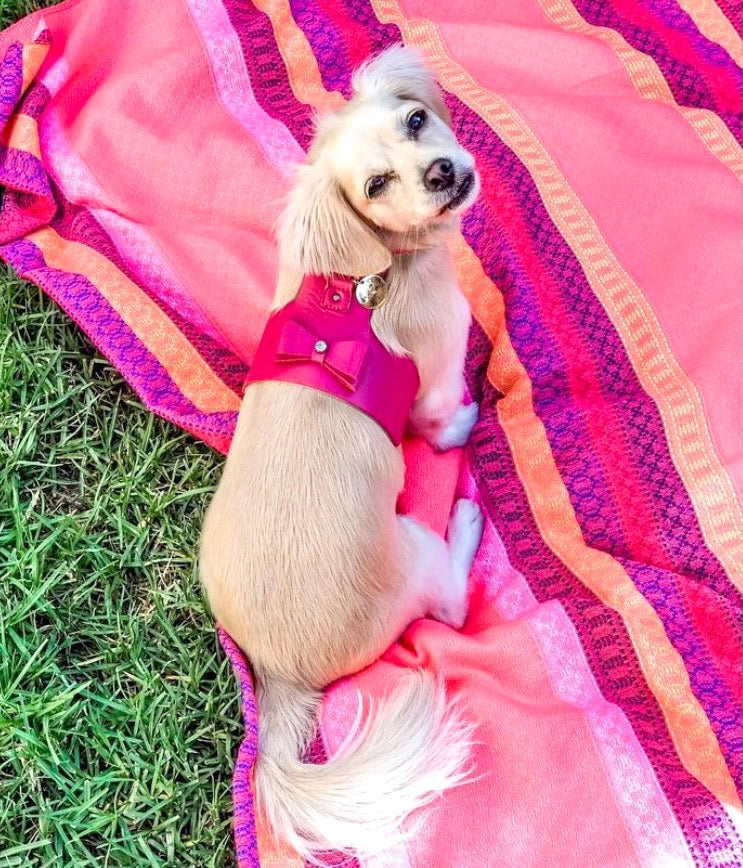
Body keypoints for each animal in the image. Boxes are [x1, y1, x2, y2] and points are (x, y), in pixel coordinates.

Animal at [201, 45, 486, 860]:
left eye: (416, 120)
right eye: (376, 186)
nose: (441, 172)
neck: (363, 279)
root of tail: (272, 672)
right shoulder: (435, 373)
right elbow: (444, 419)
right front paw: (470, 418)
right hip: (415, 554)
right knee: (452, 604)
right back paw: (464, 523)